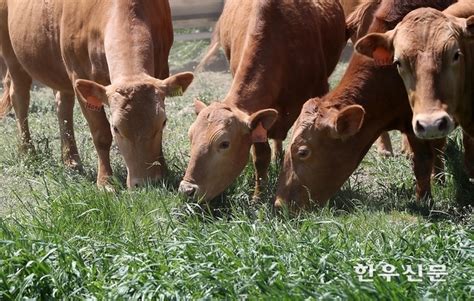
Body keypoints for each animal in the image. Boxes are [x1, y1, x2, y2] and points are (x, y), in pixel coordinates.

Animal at [0, 0, 193, 188]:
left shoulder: (162, 68)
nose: (146, 183)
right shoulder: (79, 75)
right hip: (12, 55)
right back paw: (28, 152)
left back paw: (71, 161)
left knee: (62, 104)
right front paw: (105, 182)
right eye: (116, 128)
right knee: (20, 98)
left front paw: (164, 172)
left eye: (163, 122)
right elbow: (101, 133)